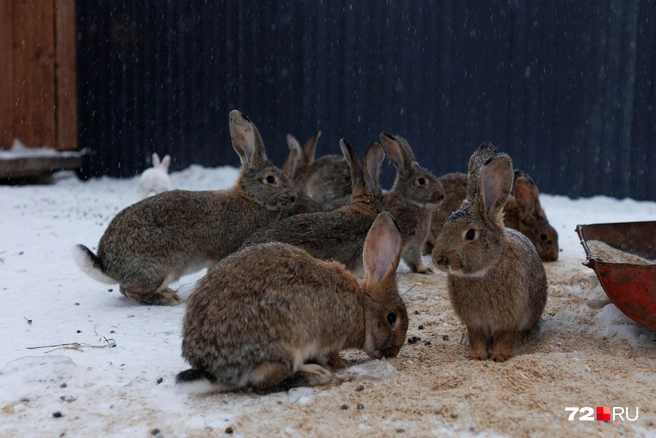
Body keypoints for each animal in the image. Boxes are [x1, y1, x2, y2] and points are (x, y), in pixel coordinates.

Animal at [71, 111, 294, 306]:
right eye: (271, 179)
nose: (293, 197)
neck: (252, 199)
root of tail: (108, 266)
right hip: (164, 266)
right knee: (128, 290)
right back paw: (168, 298)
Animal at [177, 212, 408, 394]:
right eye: (391, 318)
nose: (393, 351)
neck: (361, 308)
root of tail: (213, 370)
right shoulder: (330, 340)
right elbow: (329, 356)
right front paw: (343, 363)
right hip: (285, 347)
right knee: (264, 383)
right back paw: (316, 374)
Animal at [380, 133, 446, 274]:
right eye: (421, 181)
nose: (442, 196)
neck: (409, 202)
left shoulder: (414, 245)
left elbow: (414, 259)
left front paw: (424, 269)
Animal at [430, 142, 548, 362]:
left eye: (470, 234)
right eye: (444, 225)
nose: (439, 259)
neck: (485, 270)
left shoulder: (509, 318)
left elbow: (504, 337)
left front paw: (499, 357)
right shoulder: (474, 321)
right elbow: (476, 336)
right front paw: (476, 356)